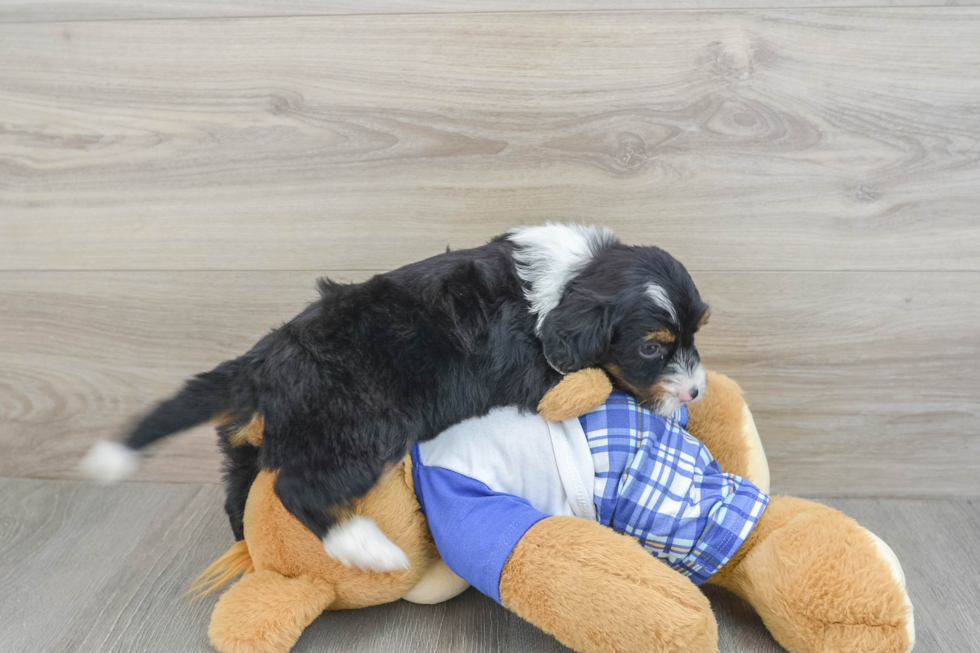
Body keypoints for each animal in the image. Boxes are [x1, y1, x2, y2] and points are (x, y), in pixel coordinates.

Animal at [80, 225, 708, 572]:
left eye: (697, 332)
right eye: (653, 347)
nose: (698, 390)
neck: (569, 280)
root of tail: (260, 366)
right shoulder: (531, 371)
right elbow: (590, 380)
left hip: (254, 443)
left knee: (243, 491)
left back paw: (249, 552)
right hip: (363, 429)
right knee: (294, 488)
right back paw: (363, 547)